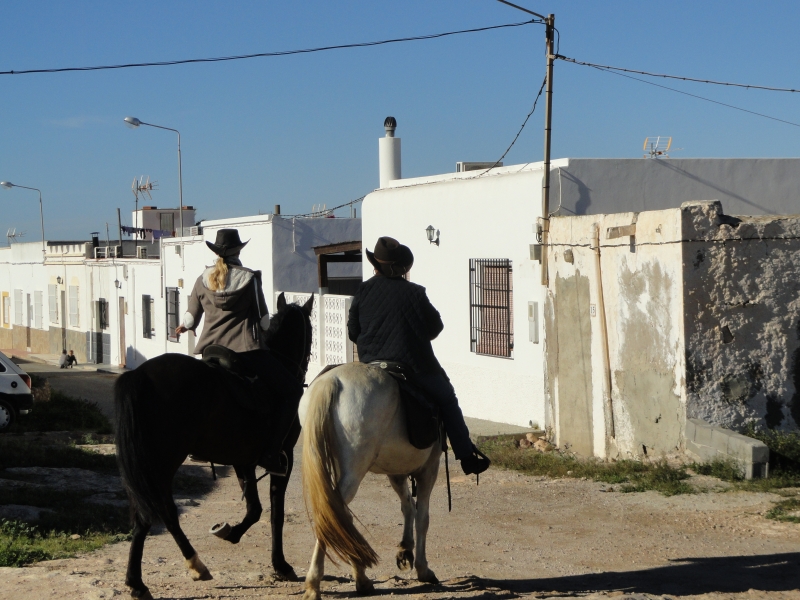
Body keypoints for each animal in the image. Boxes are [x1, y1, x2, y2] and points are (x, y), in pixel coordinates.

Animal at [114, 292, 314, 596]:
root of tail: (140, 376)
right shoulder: (284, 457)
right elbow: (275, 512)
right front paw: (280, 565)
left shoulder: (243, 460)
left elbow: (254, 508)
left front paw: (230, 532)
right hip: (163, 462)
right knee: (163, 512)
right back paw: (193, 566)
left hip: (143, 467)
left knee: (144, 515)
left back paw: (137, 581)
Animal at [298, 360, 440, 600]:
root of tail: (332, 380)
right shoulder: (429, 468)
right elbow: (423, 517)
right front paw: (423, 569)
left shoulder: (396, 471)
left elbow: (407, 506)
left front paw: (405, 549)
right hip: (356, 470)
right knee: (332, 515)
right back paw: (315, 583)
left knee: (339, 515)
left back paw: (360, 578)